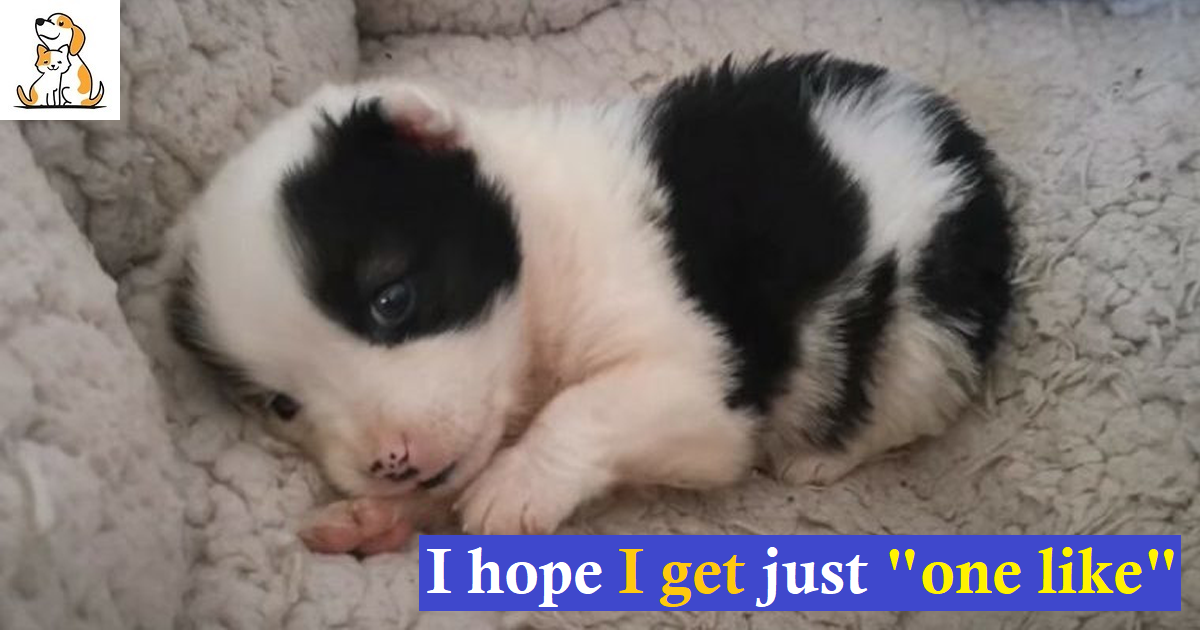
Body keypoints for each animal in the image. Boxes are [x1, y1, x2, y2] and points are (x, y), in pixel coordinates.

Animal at [169, 54, 1012, 549]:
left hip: (924, 326)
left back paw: (822, 456)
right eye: (281, 405)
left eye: (392, 299)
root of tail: (950, 130)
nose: (392, 462)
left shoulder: (700, 390)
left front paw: (514, 486)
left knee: (902, 407)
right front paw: (376, 517)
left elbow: (587, 408)